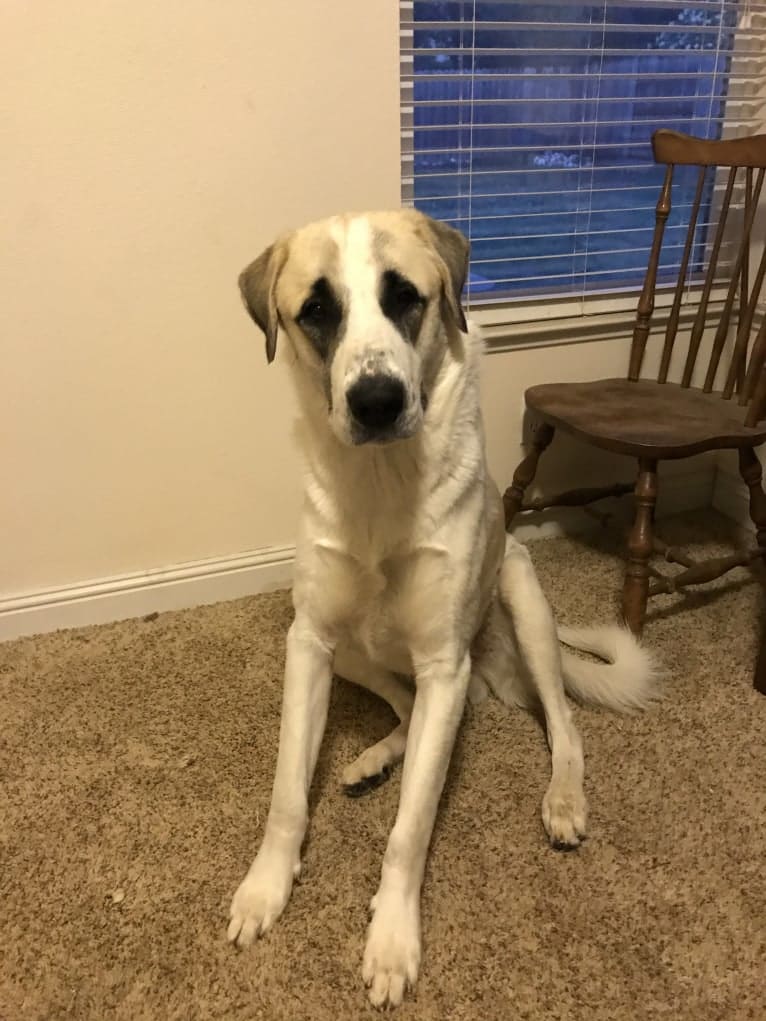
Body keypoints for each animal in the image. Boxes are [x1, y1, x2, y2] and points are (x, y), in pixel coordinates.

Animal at [227, 211, 661, 1008]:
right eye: (316, 310)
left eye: (406, 296)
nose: (375, 401)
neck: (378, 483)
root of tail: (491, 679)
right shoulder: (308, 643)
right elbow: (287, 793)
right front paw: (265, 887)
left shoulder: (442, 665)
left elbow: (411, 826)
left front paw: (393, 940)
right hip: (357, 652)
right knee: (403, 708)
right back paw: (373, 758)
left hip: (521, 602)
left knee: (563, 726)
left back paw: (562, 799)